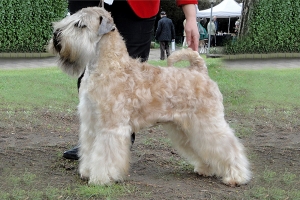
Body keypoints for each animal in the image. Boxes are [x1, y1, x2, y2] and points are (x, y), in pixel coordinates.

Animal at [48, 7, 251, 186]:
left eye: (80, 25)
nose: (56, 35)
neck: (107, 67)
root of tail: (200, 71)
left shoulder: (110, 127)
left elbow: (105, 154)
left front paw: (101, 178)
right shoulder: (90, 123)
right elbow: (90, 149)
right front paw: (87, 171)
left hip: (206, 123)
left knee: (228, 146)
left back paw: (236, 176)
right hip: (185, 128)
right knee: (204, 148)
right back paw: (205, 168)